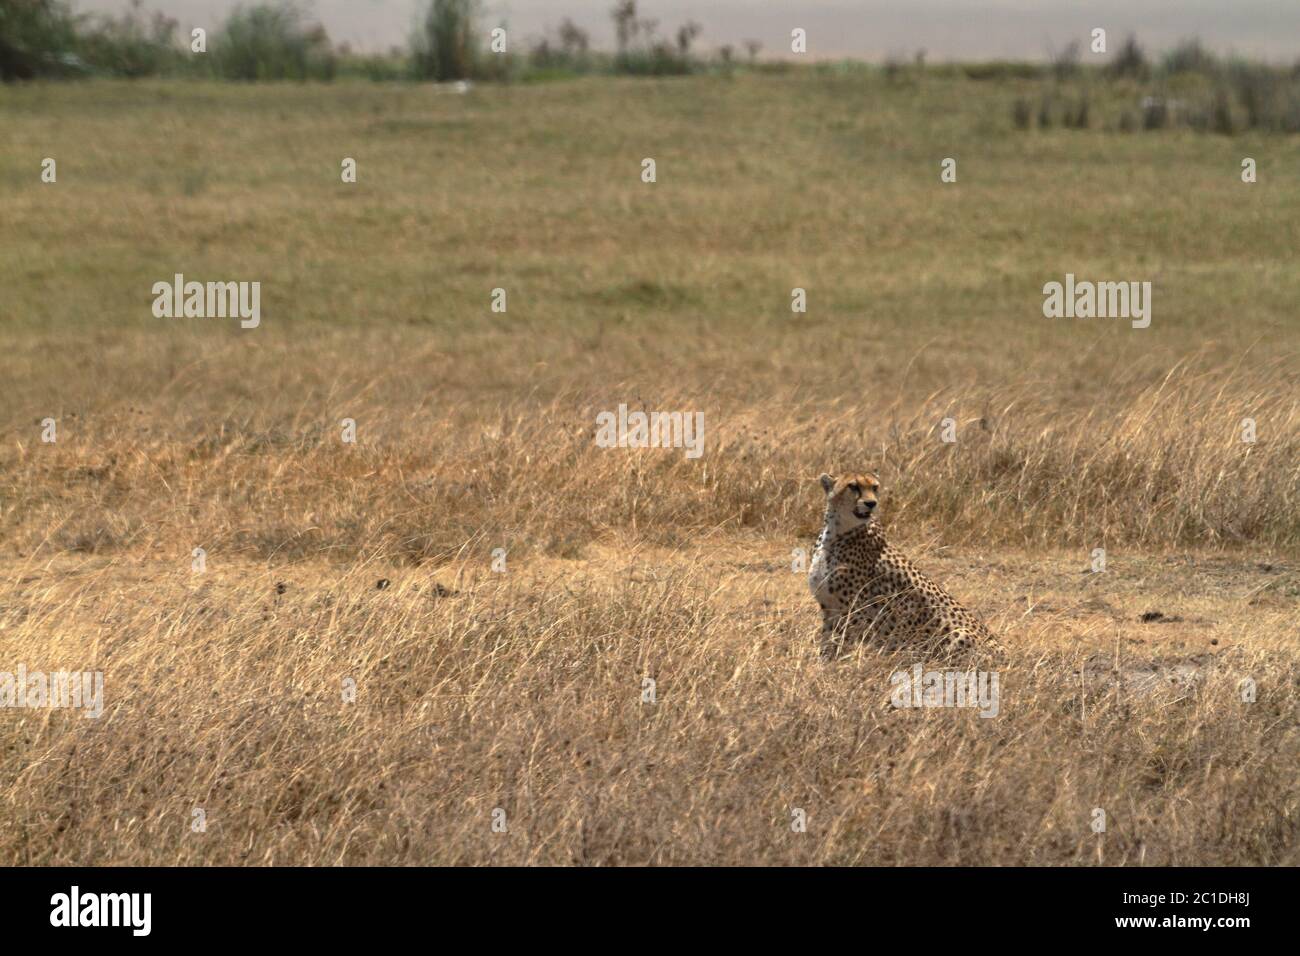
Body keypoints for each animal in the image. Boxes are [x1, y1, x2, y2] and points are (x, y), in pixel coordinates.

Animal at [806, 476, 998, 660]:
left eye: (875, 487)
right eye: (853, 486)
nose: (871, 503)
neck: (834, 533)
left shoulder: (853, 610)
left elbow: (844, 641)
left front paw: (838, 663)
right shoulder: (829, 606)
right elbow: (827, 640)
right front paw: (823, 662)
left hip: (959, 634)